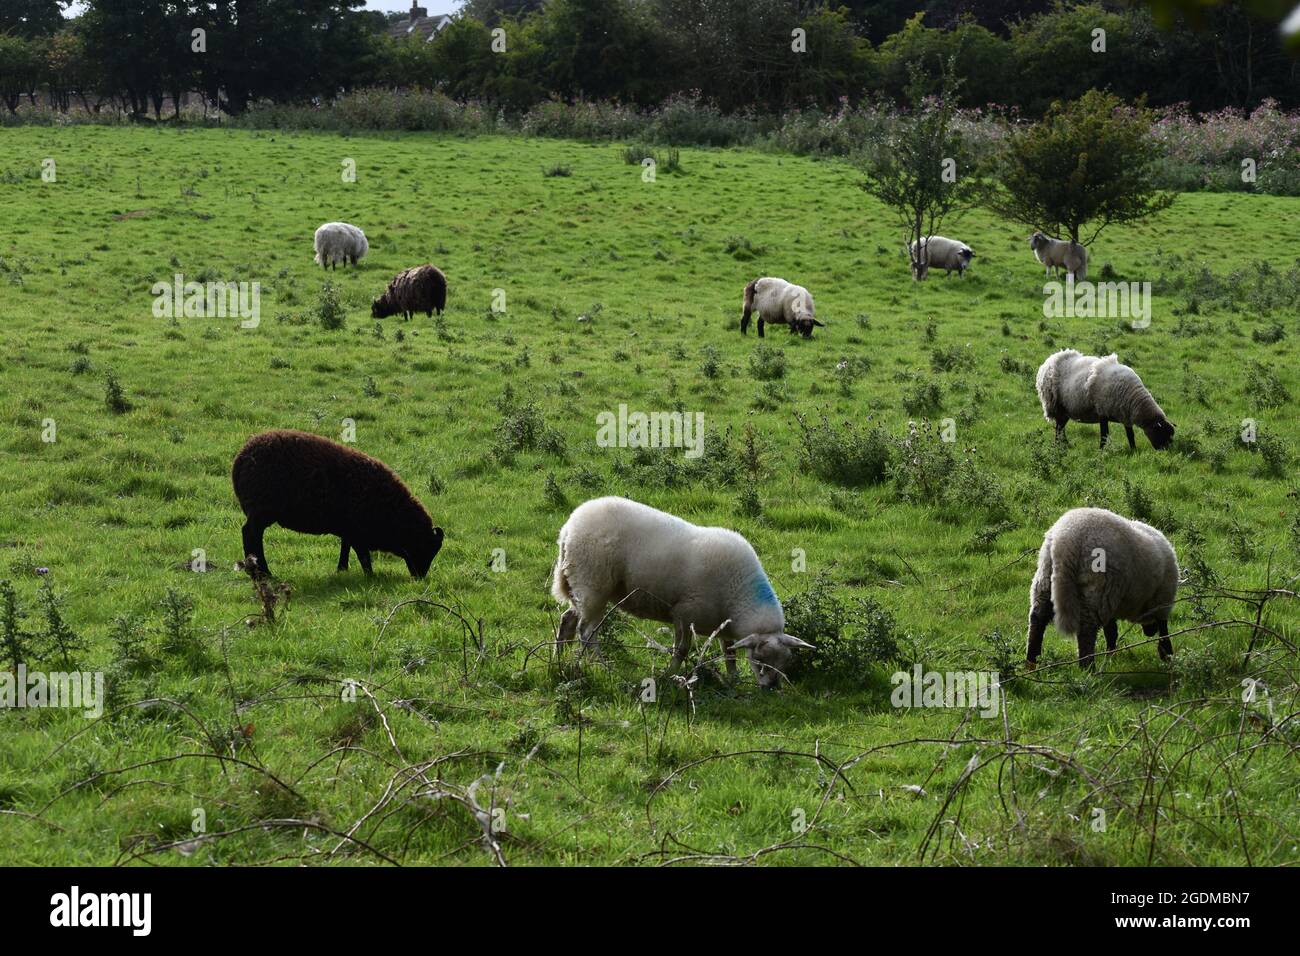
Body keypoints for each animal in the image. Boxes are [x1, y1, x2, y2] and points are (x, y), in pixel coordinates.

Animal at [232, 429, 443, 579]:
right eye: (424, 547)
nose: (419, 578)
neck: (390, 511)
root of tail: (241, 457)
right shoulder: (357, 531)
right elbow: (363, 555)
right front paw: (370, 576)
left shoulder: (348, 528)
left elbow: (345, 546)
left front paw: (342, 570)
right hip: (261, 510)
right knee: (250, 534)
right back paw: (262, 573)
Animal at [550, 496, 813, 689]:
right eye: (759, 658)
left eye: (787, 661)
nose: (771, 687)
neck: (739, 595)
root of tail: (567, 529)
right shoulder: (685, 613)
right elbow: (682, 650)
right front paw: (670, 674)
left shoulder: (722, 624)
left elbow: (729, 653)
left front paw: (733, 679)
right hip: (593, 584)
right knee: (587, 631)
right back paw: (602, 665)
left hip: (580, 586)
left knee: (568, 619)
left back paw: (560, 659)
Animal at [1027, 507, 1178, 670]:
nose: (1150, 632)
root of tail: (1065, 539)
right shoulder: (1162, 599)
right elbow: (1163, 629)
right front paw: (1167, 654)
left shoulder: (1112, 599)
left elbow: (1111, 631)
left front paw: (1110, 655)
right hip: (1096, 587)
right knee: (1086, 629)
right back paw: (1087, 668)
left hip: (1045, 578)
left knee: (1038, 618)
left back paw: (1031, 663)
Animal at [1036, 349, 1175, 450]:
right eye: (1162, 433)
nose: (1164, 452)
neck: (1134, 400)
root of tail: (1049, 360)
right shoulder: (1102, 412)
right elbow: (1104, 434)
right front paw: (1102, 451)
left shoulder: (1125, 415)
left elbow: (1130, 435)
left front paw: (1133, 450)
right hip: (1056, 406)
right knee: (1059, 428)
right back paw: (1059, 446)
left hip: (1065, 410)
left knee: (1061, 427)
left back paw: (1064, 444)